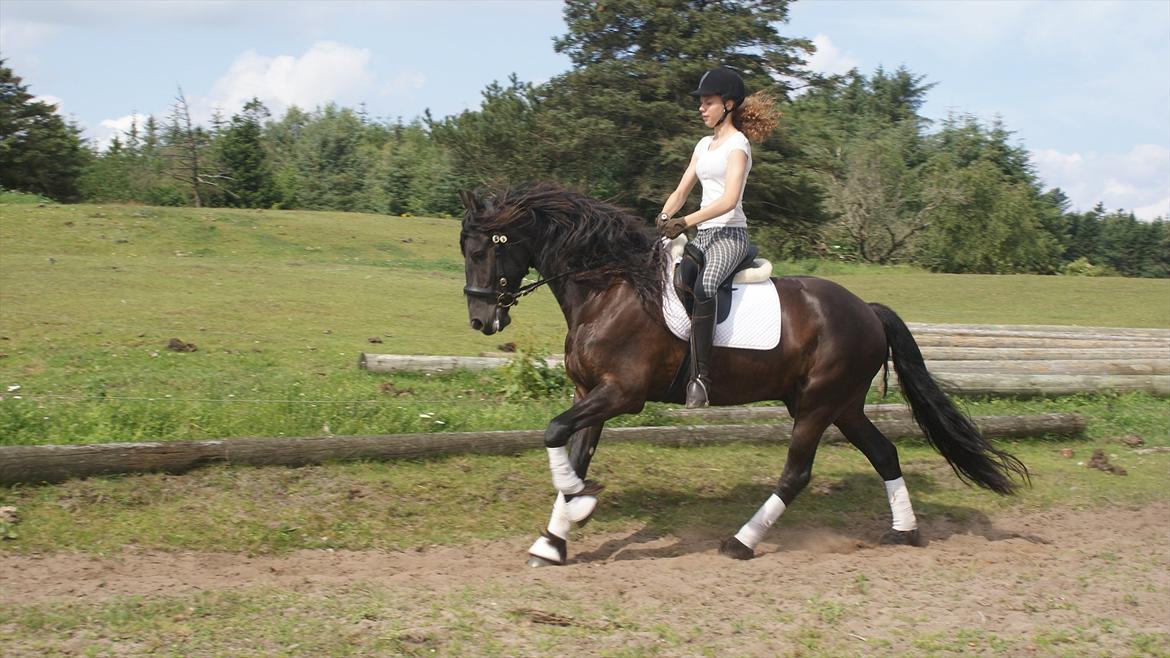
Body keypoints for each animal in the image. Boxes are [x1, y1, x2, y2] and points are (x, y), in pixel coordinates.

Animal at [456, 180, 1024, 564]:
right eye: (464, 250)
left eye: (483, 250)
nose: (481, 320)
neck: (608, 287)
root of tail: (867, 308)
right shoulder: (589, 392)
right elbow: (571, 451)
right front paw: (555, 537)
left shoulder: (622, 393)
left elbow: (555, 433)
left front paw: (580, 506)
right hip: (839, 404)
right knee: (884, 453)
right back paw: (904, 530)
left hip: (818, 404)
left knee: (796, 473)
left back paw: (741, 541)